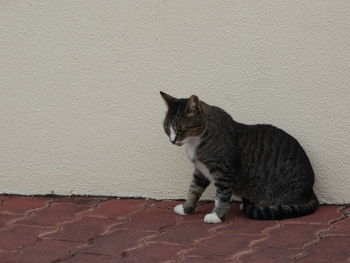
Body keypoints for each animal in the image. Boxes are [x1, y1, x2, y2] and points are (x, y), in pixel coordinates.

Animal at [160, 92, 318, 224]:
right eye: (167, 129)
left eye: (181, 130)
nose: (172, 141)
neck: (195, 141)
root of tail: (310, 190)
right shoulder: (201, 170)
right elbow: (194, 189)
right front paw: (186, 208)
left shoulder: (223, 171)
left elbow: (222, 195)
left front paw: (217, 215)